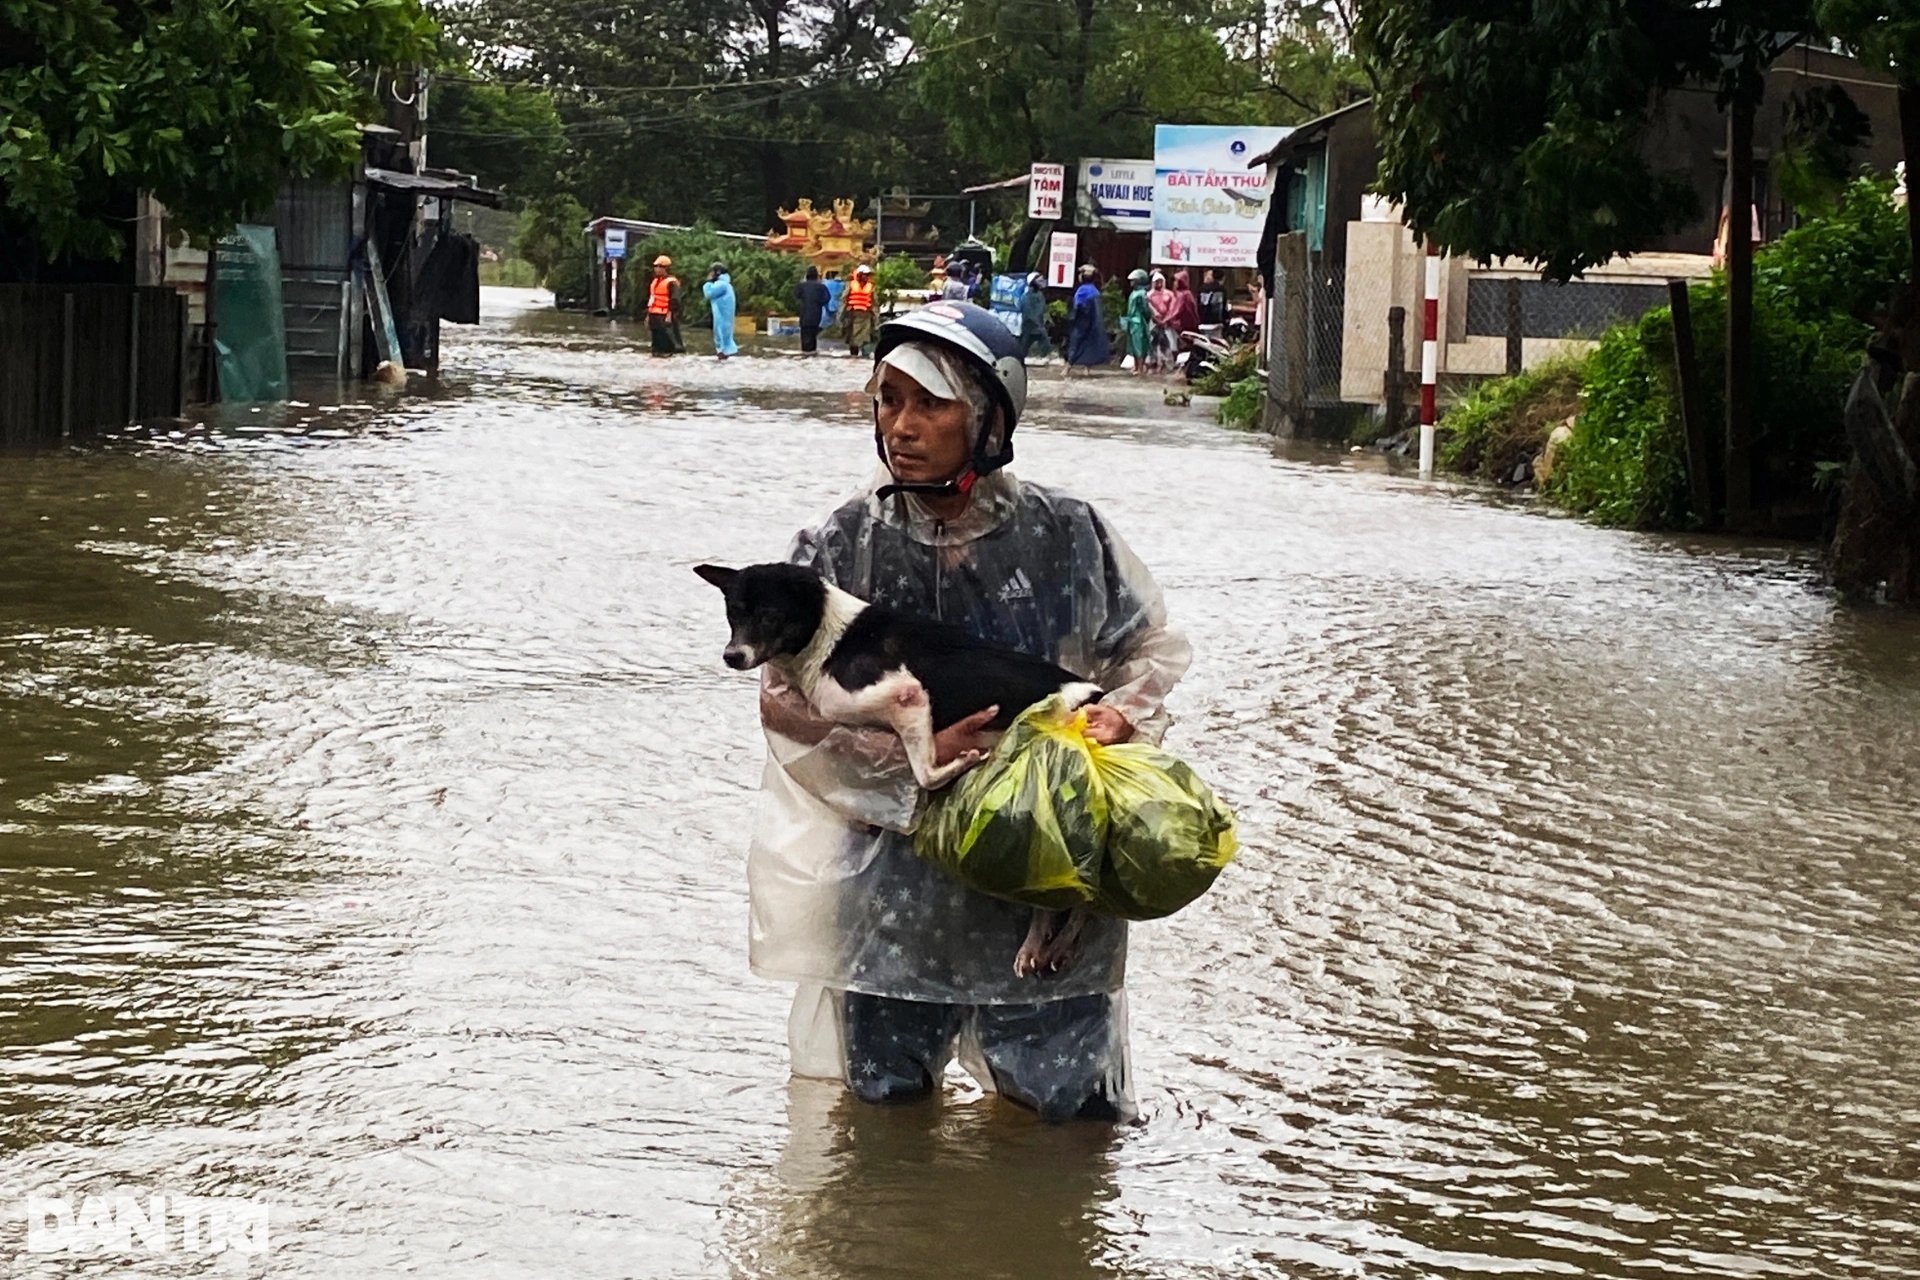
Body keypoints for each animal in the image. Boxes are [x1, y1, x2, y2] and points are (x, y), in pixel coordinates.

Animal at [698, 564, 1105, 974]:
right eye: (733, 613)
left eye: (769, 615)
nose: (732, 656)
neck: (827, 640)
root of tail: (1093, 700)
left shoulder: (906, 696)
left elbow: (925, 770)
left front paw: (960, 762)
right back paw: (1043, 944)